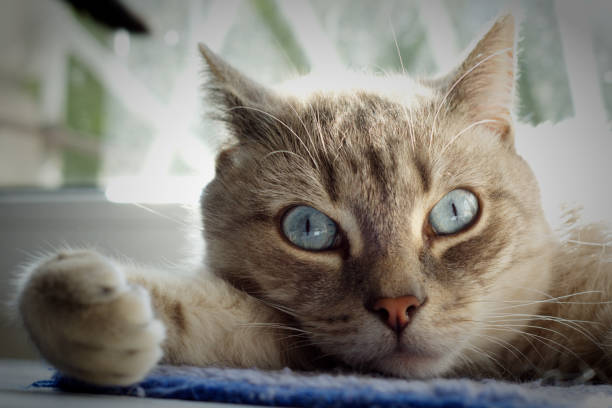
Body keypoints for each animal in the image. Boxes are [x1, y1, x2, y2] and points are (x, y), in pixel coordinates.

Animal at [13, 15, 612, 386]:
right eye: (309, 229)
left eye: (454, 213)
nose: (399, 307)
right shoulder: (291, 338)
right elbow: (199, 312)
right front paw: (79, 302)